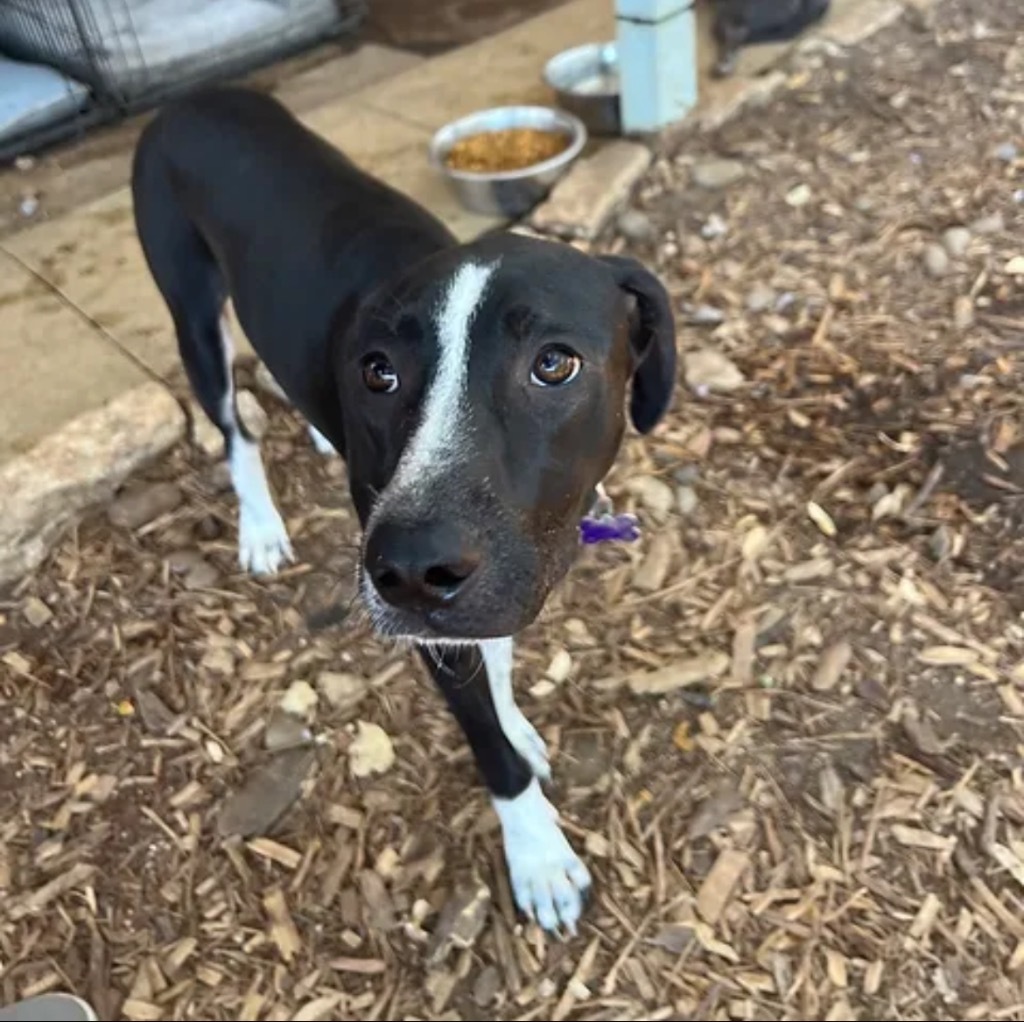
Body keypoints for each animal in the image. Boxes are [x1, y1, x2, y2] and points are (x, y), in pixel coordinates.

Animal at [130, 88, 679, 938]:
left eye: (555, 363)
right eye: (377, 372)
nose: (409, 572)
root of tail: (189, 97)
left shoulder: (495, 578)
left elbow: (497, 655)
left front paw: (518, 721)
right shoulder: (439, 621)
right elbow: (489, 746)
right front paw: (538, 852)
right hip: (191, 313)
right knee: (233, 427)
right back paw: (260, 524)